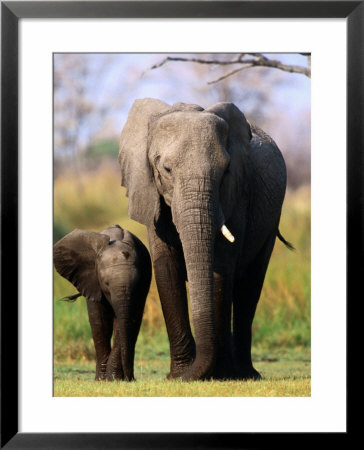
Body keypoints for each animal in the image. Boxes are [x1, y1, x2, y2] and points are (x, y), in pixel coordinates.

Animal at [53, 224, 151, 380]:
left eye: (137, 284)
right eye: (106, 283)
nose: (131, 378)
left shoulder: (143, 284)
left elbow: (125, 322)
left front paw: (113, 379)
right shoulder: (92, 280)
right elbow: (99, 321)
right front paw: (102, 380)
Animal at [118, 97, 290, 380]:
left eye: (226, 171)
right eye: (166, 169)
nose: (185, 375)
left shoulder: (237, 195)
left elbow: (221, 267)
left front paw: (219, 374)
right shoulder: (149, 193)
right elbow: (166, 269)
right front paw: (178, 375)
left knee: (250, 286)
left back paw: (246, 374)